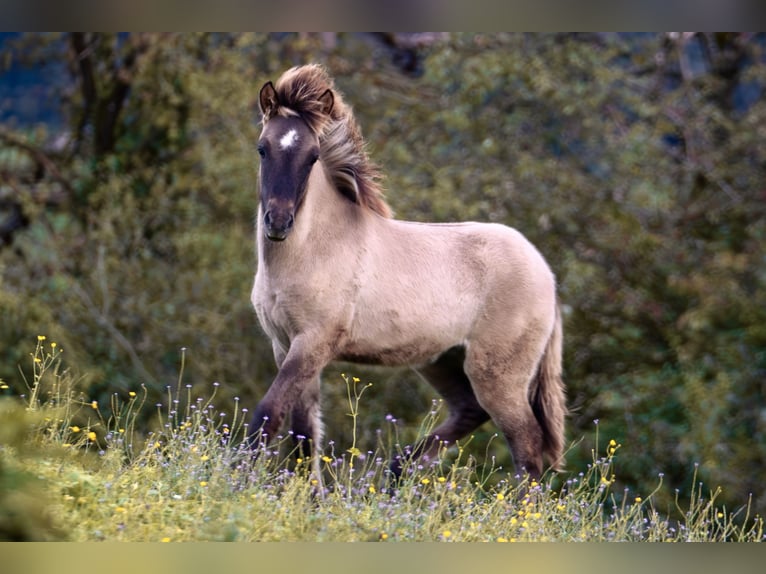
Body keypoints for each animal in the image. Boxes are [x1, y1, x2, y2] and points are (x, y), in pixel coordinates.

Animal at [249, 64, 568, 486]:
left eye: (313, 155)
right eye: (262, 148)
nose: (279, 222)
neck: (312, 249)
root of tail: (546, 273)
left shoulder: (313, 342)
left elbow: (268, 416)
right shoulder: (284, 343)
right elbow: (303, 434)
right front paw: (306, 494)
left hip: (498, 374)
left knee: (528, 449)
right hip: (443, 360)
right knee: (471, 411)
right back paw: (395, 473)